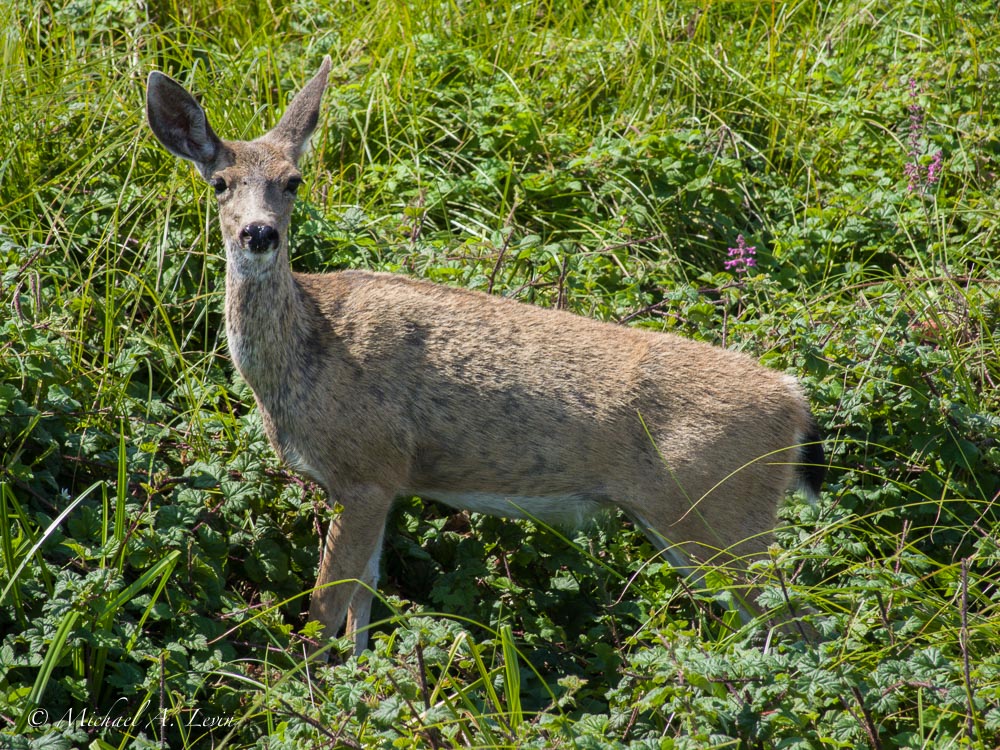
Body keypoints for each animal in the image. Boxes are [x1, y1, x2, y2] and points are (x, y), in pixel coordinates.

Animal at [146, 58, 820, 656]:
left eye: (293, 181)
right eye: (219, 183)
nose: (259, 233)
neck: (307, 352)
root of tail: (794, 400)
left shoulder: (366, 469)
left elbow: (324, 610)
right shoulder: (386, 482)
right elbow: (363, 602)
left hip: (720, 509)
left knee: (798, 622)